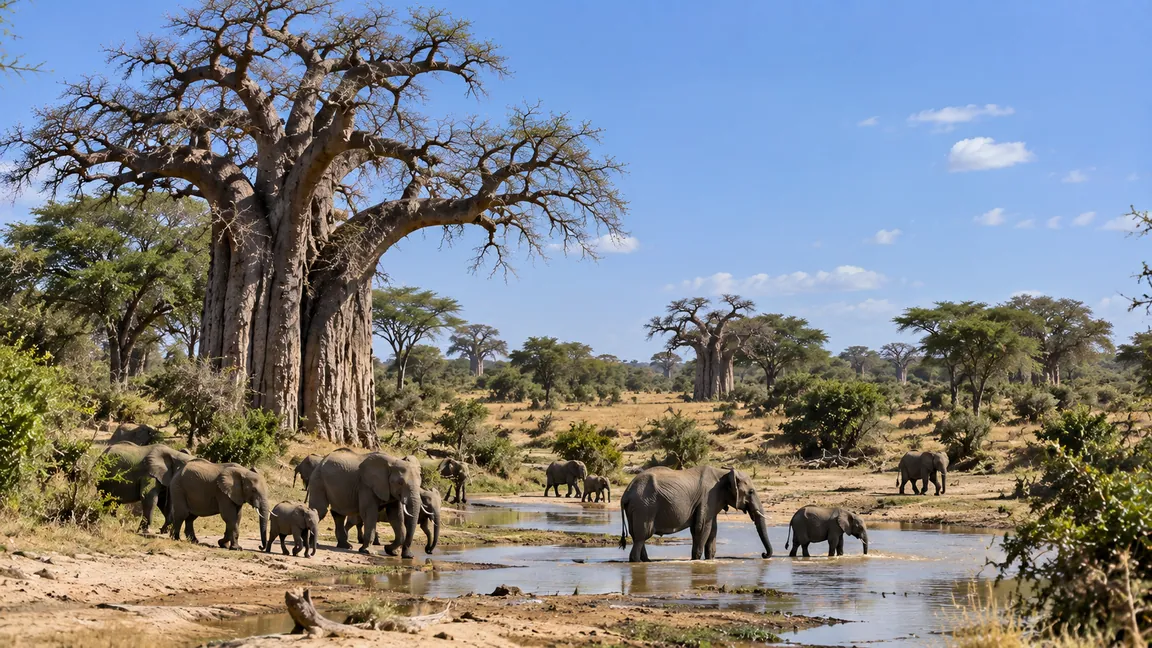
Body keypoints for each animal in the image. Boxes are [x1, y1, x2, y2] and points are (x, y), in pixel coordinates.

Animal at [619, 465, 773, 562]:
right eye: (751, 492)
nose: (764, 555)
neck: (723, 473)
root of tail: (626, 493)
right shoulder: (708, 497)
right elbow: (702, 528)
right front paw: (696, 561)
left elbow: (712, 530)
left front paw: (710, 559)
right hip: (644, 507)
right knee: (642, 536)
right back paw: (637, 562)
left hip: (636, 508)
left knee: (637, 536)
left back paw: (647, 561)